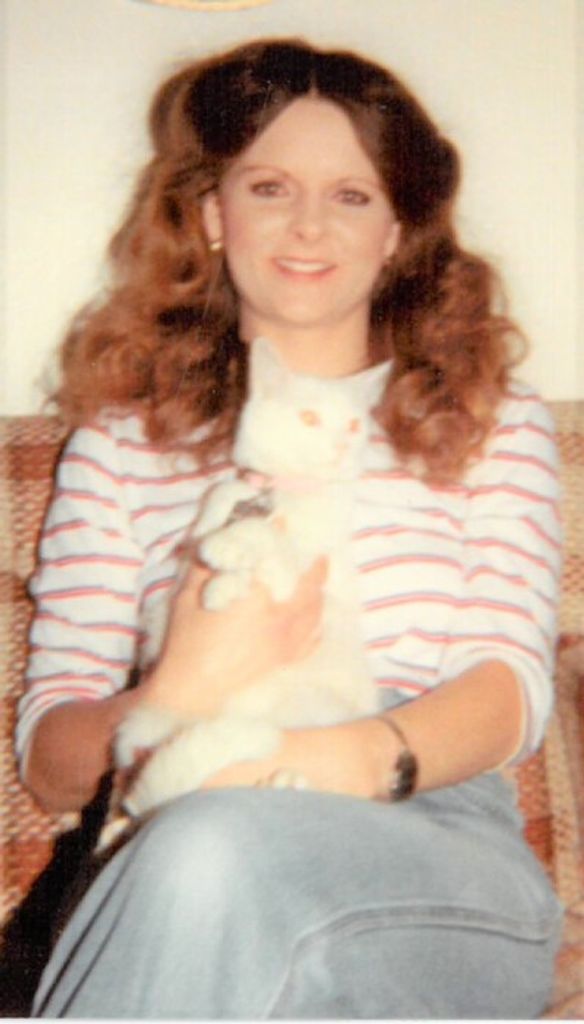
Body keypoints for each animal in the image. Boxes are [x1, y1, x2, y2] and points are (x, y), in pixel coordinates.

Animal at [106, 339, 388, 830]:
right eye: (309, 418)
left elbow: (267, 542)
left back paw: (285, 782)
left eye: (354, 425)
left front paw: (229, 561)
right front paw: (222, 580)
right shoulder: (208, 528)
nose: (341, 445)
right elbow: (211, 526)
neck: (283, 492)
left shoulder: (300, 575)